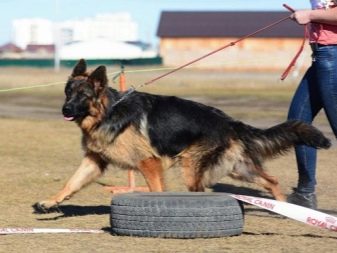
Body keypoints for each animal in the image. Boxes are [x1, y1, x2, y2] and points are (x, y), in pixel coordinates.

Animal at [34, 58, 330, 211]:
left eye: (83, 96)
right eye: (68, 92)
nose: (65, 109)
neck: (108, 113)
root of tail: (229, 121)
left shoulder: (149, 163)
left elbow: (156, 190)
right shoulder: (94, 161)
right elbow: (71, 182)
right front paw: (50, 202)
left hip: (192, 167)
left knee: (203, 191)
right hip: (238, 168)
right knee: (272, 180)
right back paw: (285, 208)